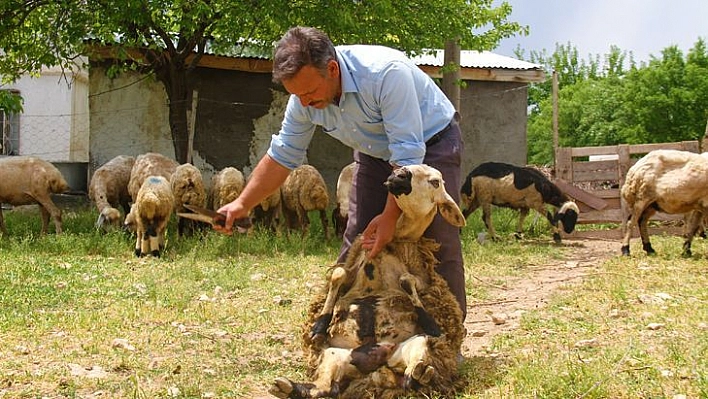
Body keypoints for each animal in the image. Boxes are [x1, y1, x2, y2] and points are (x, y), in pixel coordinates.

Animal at [272, 165, 470, 399]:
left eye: (435, 182)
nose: (399, 174)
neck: (394, 241)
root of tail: (377, 369)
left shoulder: (421, 279)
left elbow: (406, 280)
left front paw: (431, 323)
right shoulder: (353, 266)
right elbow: (338, 273)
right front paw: (318, 326)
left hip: (416, 343)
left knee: (411, 377)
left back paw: (421, 374)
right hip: (334, 354)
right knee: (325, 388)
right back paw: (288, 387)